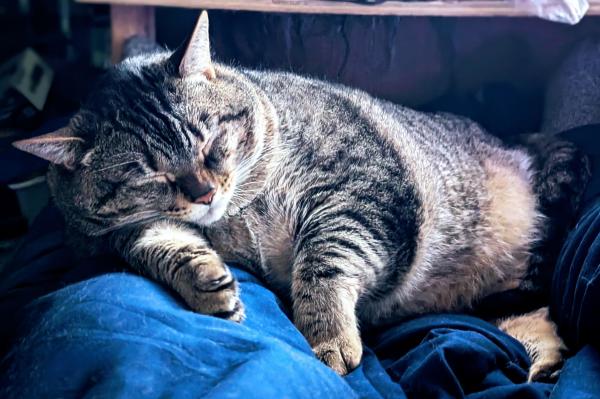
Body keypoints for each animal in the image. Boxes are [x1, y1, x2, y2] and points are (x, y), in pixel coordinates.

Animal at [15, 11, 592, 382]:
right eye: (149, 174)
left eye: (211, 142)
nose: (204, 194)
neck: (235, 213)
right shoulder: (120, 235)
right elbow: (162, 244)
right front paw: (206, 282)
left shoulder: (361, 194)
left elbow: (323, 262)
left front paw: (328, 336)